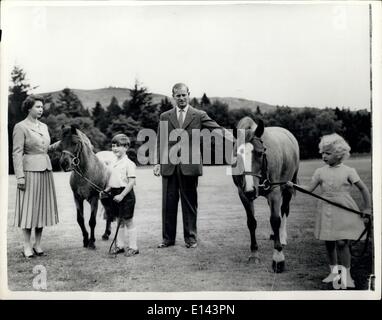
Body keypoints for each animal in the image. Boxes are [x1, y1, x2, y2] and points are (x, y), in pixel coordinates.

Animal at [233, 118, 298, 272]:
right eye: (237, 155)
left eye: (259, 153)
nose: (250, 190)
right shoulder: (243, 194)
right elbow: (251, 222)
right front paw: (254, 254)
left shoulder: (275, 191)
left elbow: (275, 220)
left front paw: (278, 258)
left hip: (288, 187)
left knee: (284, 210)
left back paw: (282, 237)